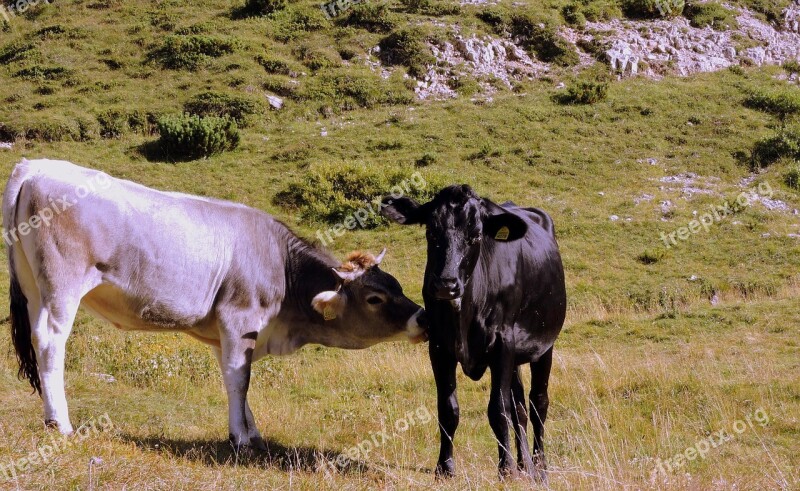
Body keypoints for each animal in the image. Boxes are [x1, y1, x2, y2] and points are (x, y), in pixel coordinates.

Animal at [382, 184, 564, 480]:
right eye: (431, 231)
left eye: (476, 235)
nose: (446, 284)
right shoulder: (439, 347)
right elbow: (449, 409)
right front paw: (444, 468)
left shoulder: (502, 343)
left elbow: (498, 409)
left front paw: (505, 469)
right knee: (520, 408)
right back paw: (524, 464)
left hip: (544, 346)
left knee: (538, 403)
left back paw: (539, 467)